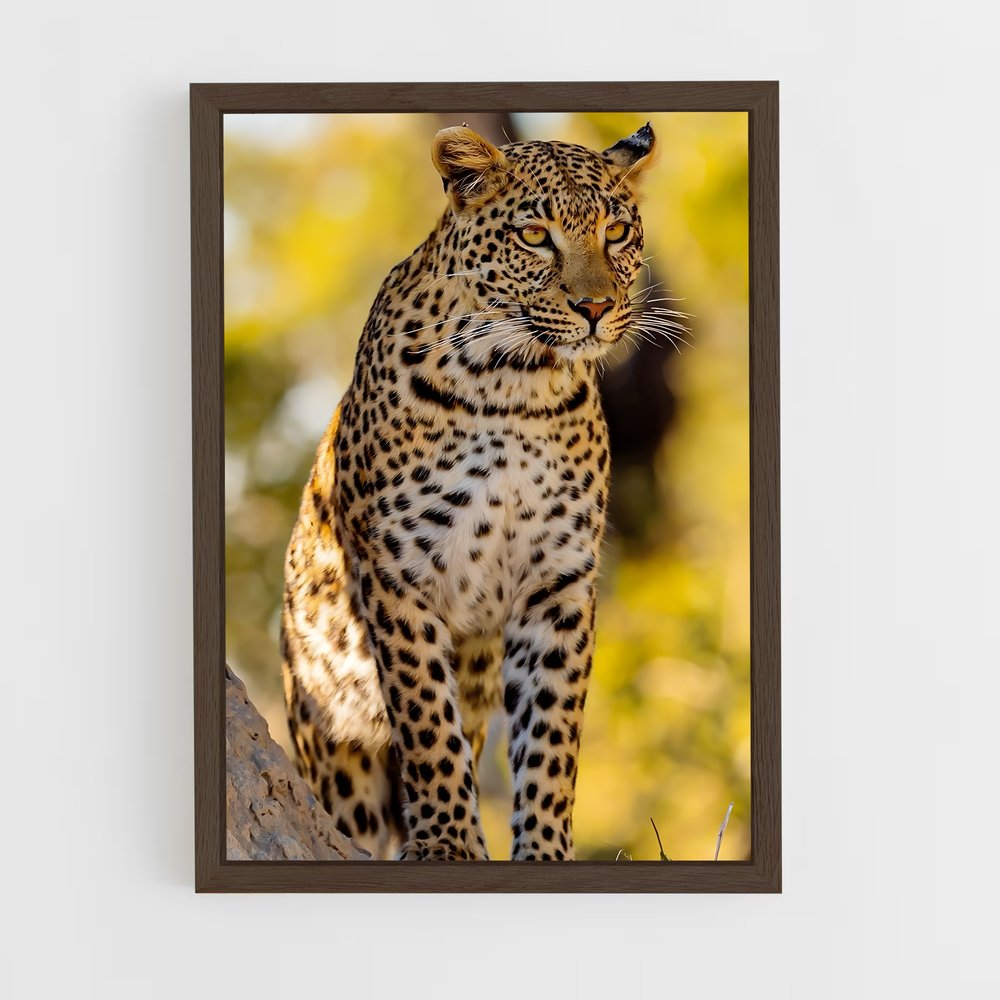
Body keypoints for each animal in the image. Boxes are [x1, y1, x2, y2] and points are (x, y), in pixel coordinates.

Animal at [281, 122, 657, 860]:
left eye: (618, 231)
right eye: (535, 235)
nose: (596, 308)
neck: (516, 386)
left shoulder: (557, 582)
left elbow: (551, 737)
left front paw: (544, 851)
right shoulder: (400, 573)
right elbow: (429, 723)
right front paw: (450, 844)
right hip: (329, 742)